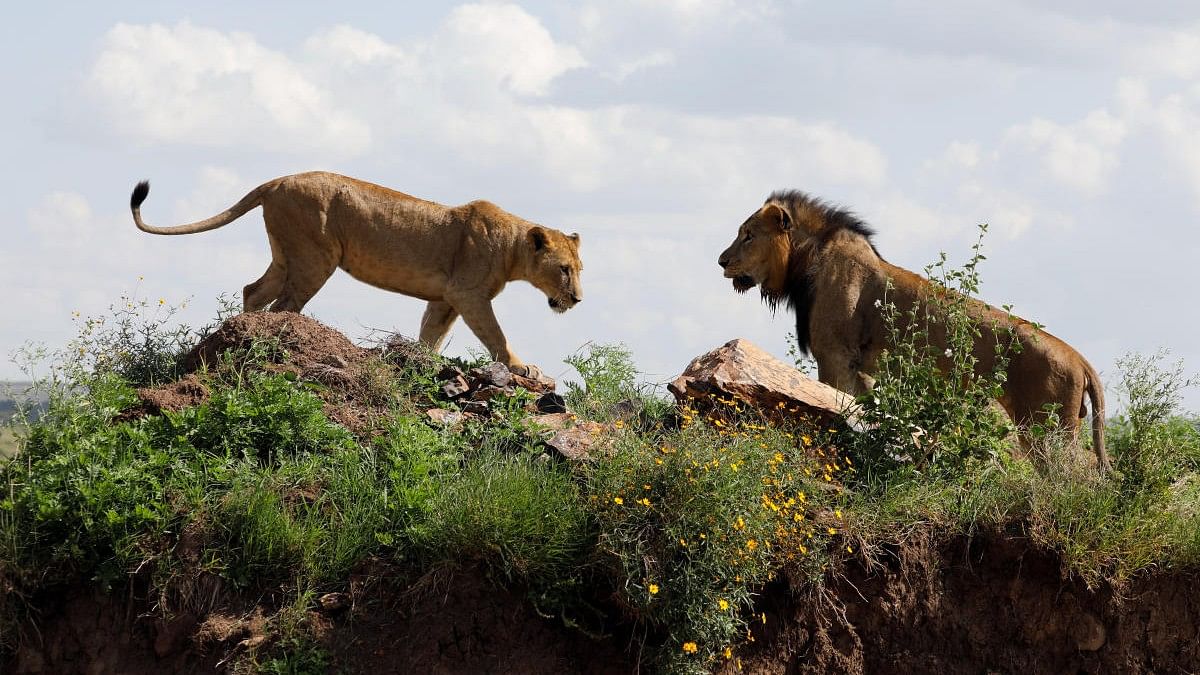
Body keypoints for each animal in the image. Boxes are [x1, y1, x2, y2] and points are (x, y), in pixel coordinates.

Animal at [131, 170, 580, 374]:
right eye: (564, 270)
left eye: (579, 269)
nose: (577, 299)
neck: (513, 247)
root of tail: (277, 181)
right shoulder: (468, 295)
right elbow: (495, 334)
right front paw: (521, 367)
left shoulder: (445, 299)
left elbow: (431, 335)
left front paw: (422, 362)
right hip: (315, 258)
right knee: (284, 305)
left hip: (285, 255)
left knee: (253, 291)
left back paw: (243, 331)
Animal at [715, 189, 1108, 470]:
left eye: (748, 236)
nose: (721, 261)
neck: (804, 263)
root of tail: (1079, 359)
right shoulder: (859, 367)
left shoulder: (835, 357)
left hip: (1047, 430)